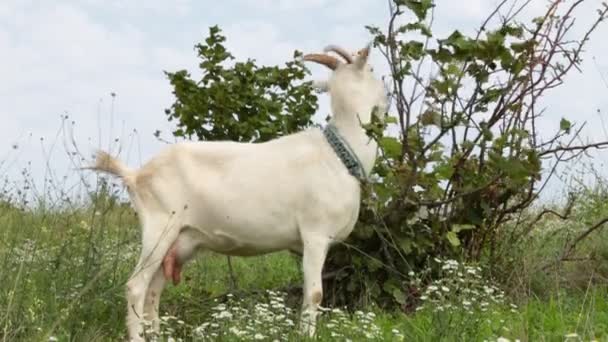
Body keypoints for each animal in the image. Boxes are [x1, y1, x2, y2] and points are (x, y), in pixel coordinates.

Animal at [88, 44, 388, 340]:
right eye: (373, 69)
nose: (386, 100)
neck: (340, 153)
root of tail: (136, 175)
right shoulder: (315, 234)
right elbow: (314, 294)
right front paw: (307, 335)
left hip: (178, 240)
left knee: (153, 290)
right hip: (160, 225)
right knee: (136, 286)